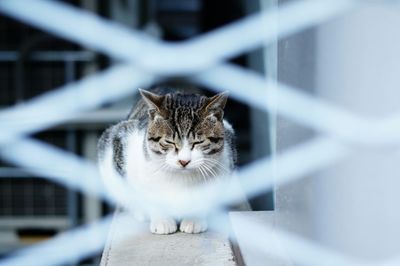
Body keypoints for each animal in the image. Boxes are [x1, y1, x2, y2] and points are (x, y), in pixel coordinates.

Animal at [97, 88, 238, 235]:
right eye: (169, 141)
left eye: (198, 142)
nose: (183, 161)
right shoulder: (122, 142)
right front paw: (162, 221)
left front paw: (194, 220)